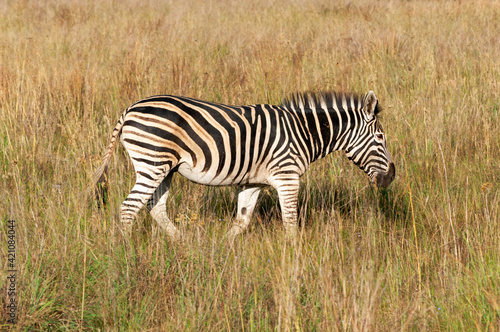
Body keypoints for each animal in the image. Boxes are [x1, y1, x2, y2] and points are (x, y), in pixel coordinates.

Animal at [92, 91, 392, 241]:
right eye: (380, 137)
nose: (391, 177)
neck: (303, 132)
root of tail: (129, 109)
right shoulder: (287, 176)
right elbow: (290, 222)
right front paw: (294, 258)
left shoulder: (253, 182)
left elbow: (242, 220)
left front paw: (224, 250)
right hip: (152, 162)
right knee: (128, 208)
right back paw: (127, 252)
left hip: (164, 168)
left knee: (155, 206)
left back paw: (183, 244)